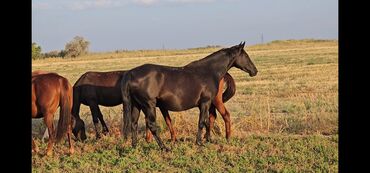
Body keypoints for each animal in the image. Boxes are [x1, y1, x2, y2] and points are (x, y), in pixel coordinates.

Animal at [71, 70, 236, 142]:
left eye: (75, 127)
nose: (81, 139)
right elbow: (100, 116)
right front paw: (105, 132)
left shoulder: (93, 102)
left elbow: (96, 118)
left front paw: (99, 136)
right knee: (212, 116)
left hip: (215, 101)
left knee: (223, 115)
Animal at [121, 41, 258, 151]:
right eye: (246, 56)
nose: (255, 71)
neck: (208, 71)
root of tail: (131, 73)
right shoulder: (205, 102)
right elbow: (202, 122)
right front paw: (199, 142)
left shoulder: (205, 104)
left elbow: (207, 121)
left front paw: (206, 140)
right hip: (149, 105)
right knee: (151, 125)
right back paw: (164, 147)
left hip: (137, 105)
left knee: (133, 124)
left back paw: (134, 146)